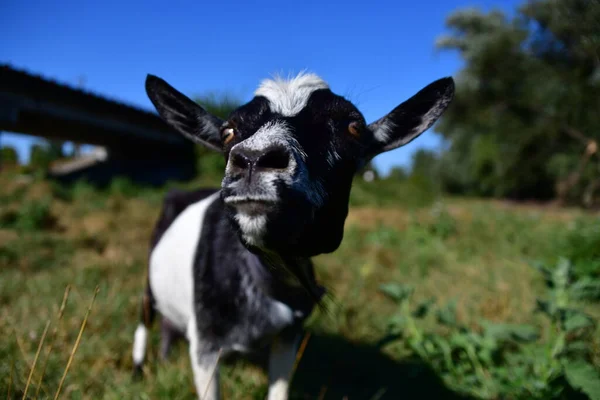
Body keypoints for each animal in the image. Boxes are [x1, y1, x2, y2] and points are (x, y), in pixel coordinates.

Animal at [130, 72, 450, 400]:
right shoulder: (206, 341)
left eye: (353, 128)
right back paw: (139, 370)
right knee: (145, 315)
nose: (254, 159)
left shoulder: (288, 334)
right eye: (228, 131)